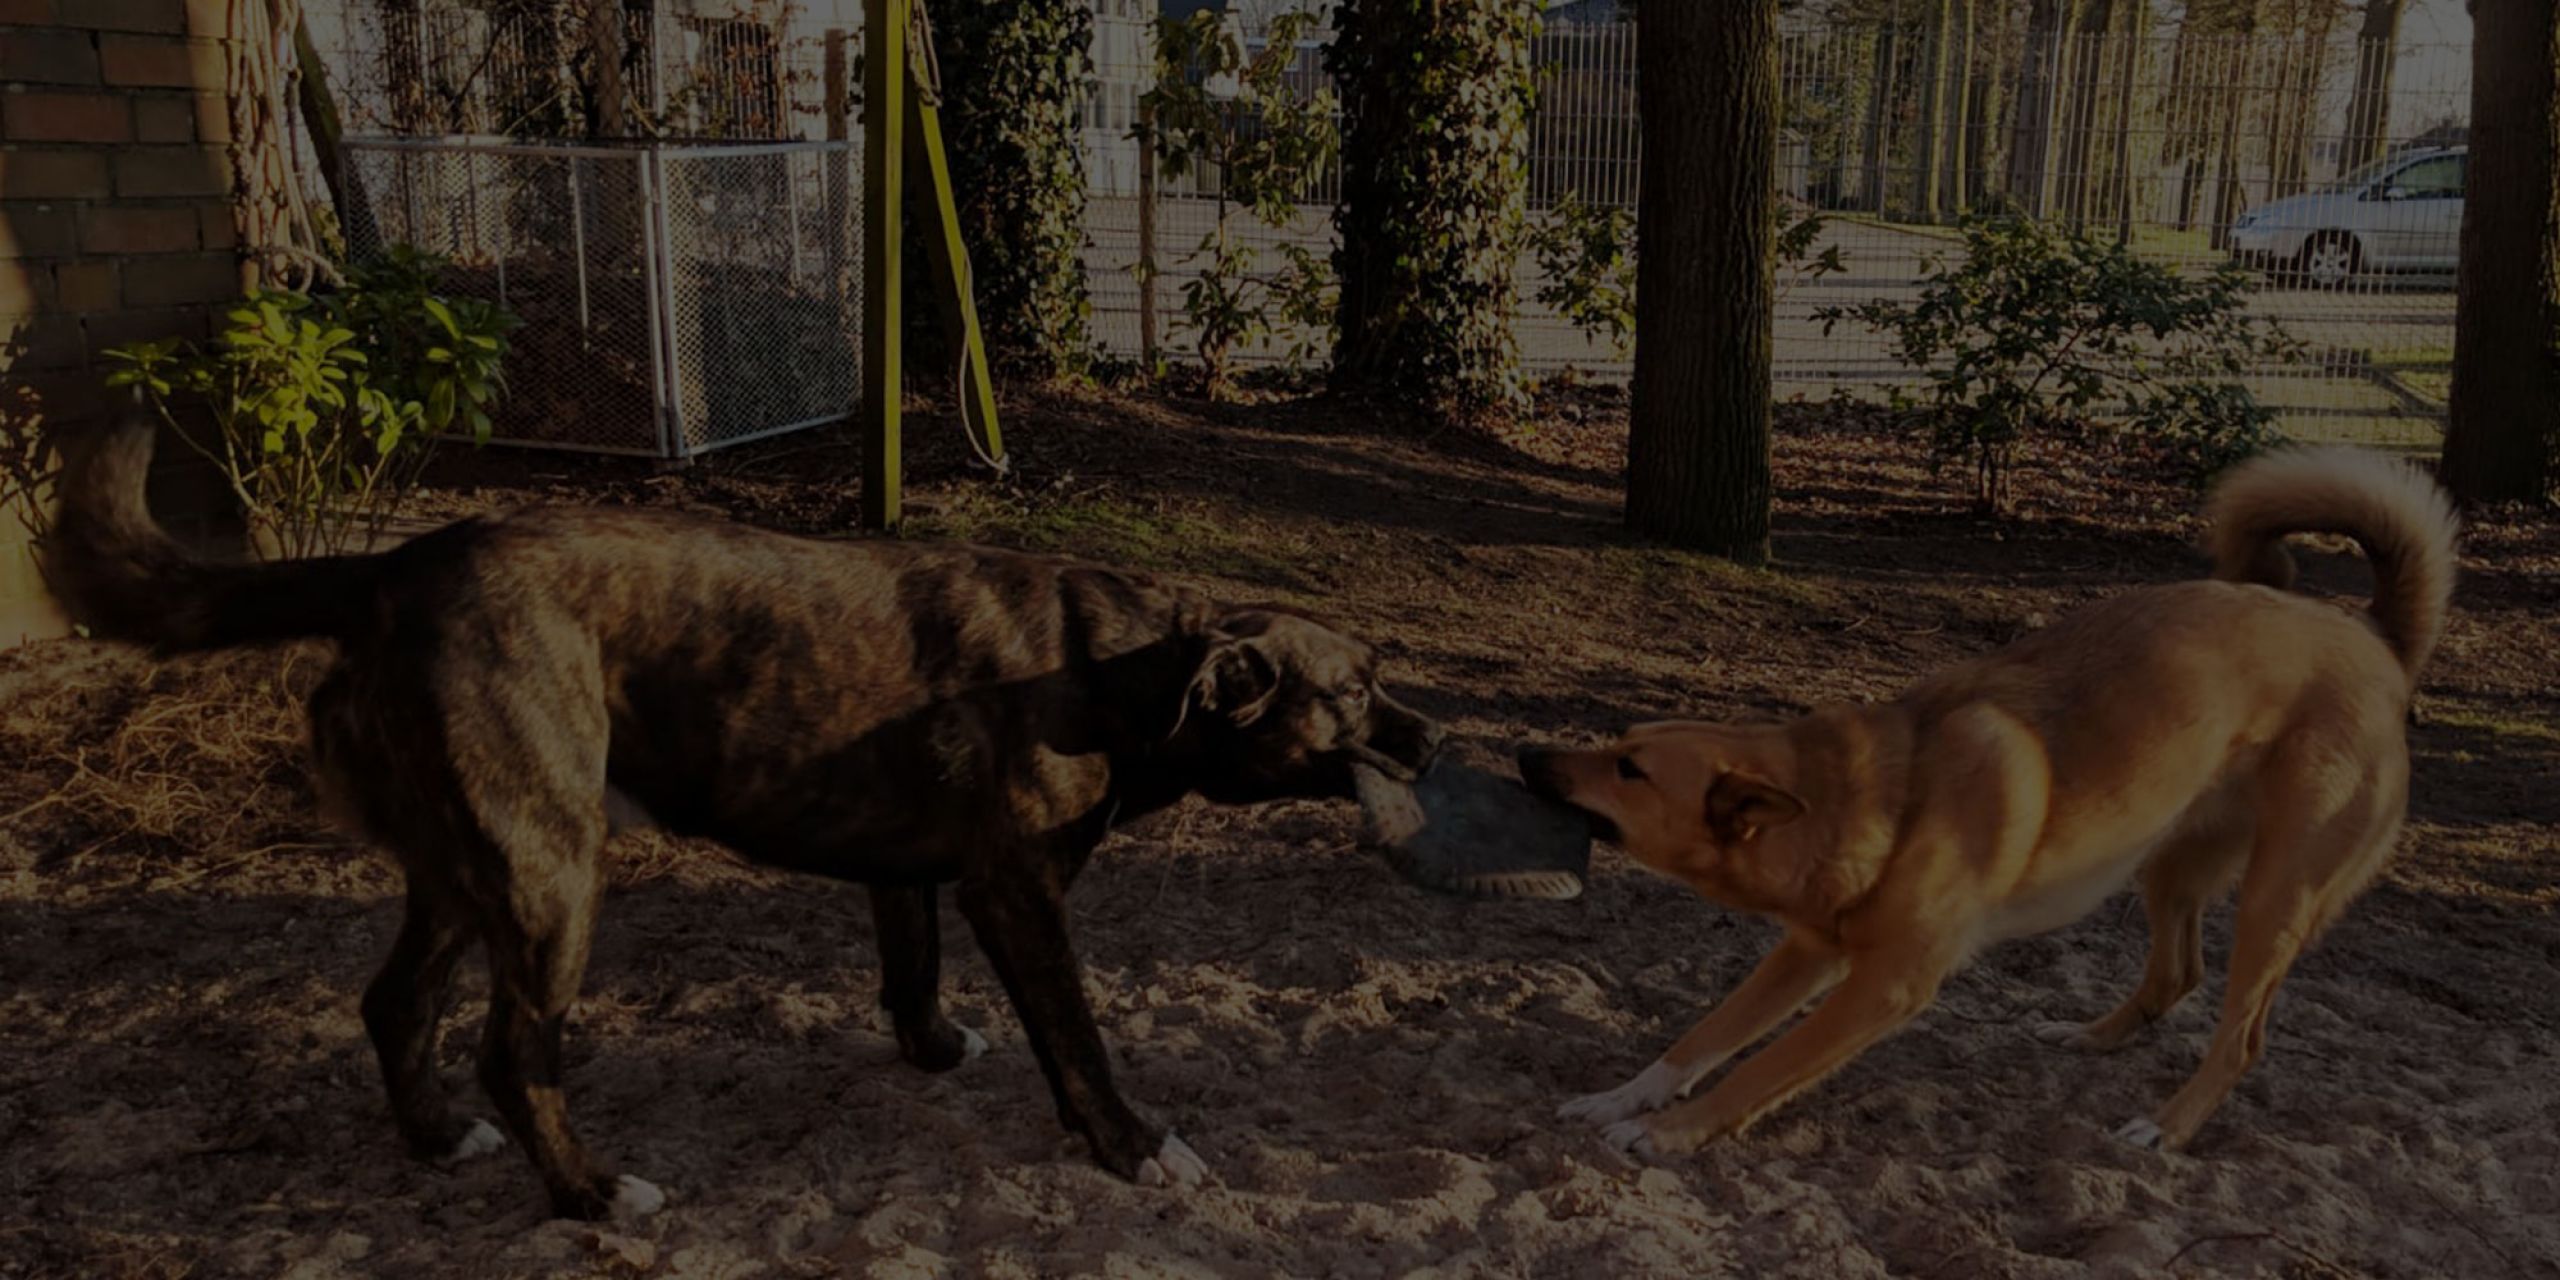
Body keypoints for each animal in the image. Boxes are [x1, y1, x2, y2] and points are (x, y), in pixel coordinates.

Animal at [47, 421, 1442, 1220]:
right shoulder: (1016, 893)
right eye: (1354, 691)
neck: (1120, 666)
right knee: (514, 1047)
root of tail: (391, 568)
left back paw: (440, 1140)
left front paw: (935, 1050)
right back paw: (592, 1195)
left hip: (464, 865)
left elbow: (910, 971)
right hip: (550, 870)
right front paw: (1132, 1146)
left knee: (396, 1006)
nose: (1433, 737)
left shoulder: (908, 874)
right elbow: (1081, 1041)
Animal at [1520, 447, 2456, 1157]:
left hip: (2276, 896)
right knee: (2177, 973)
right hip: (2170, 863)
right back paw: (2088, 1037)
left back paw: (2165, 1128)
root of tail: (2374, 639)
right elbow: (1702, 1036)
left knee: (2243, 1037)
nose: (1531, 756)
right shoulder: (1807, 952)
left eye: (1631, 770)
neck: (1880, 800)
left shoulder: (1885, 986)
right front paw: (1623, 1098)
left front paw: (1667, 1135)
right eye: (1618, 745)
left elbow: (1757, 1066)